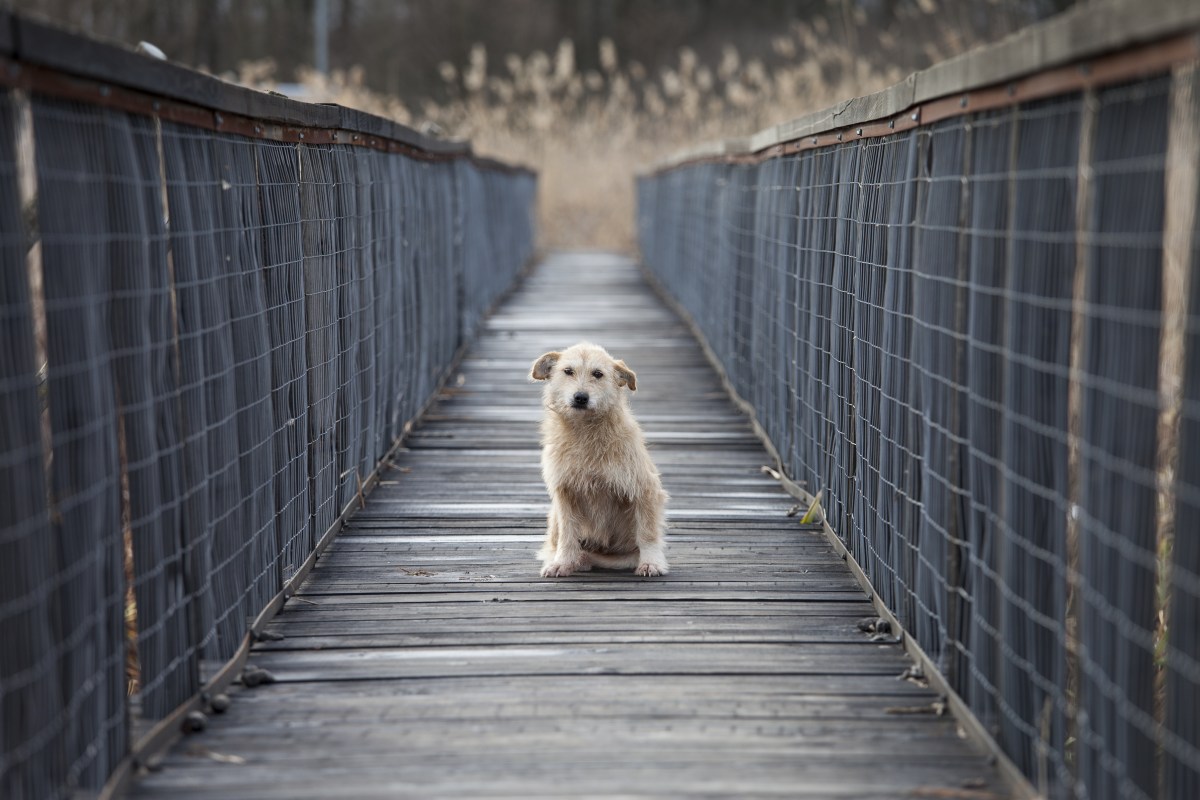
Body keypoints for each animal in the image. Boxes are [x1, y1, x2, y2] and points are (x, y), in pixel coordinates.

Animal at [532, 340, 672, 578]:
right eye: (568, 371)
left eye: (598, 374)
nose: (580, 397)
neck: (585, 431)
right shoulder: (565, 492)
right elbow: (567, 534)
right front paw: (562, 562)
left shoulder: (644, 488)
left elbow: (647, 532)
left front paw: (651, 563)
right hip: (554, 516)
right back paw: (576, 560)